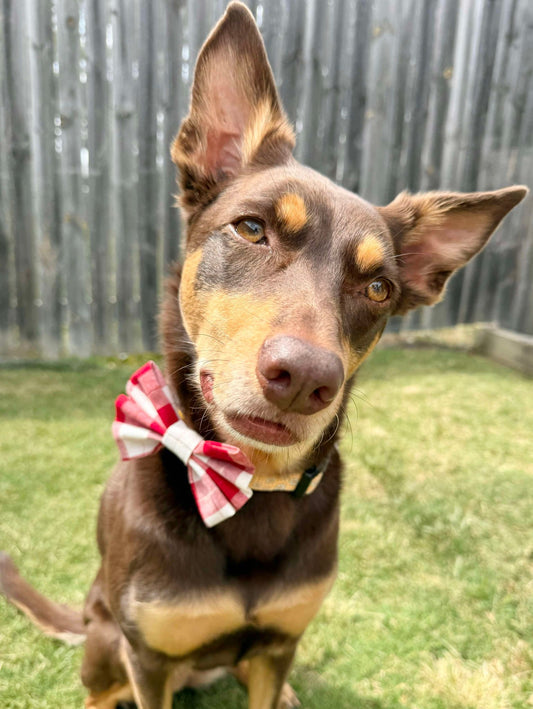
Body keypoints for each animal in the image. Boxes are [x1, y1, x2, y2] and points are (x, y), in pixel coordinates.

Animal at [0, 5, 524, 708]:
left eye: (378, 288)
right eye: (251, 228)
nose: (303, 379)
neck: (249, 487)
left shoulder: (280, 643)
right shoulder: (150, 658)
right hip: (107, 638)